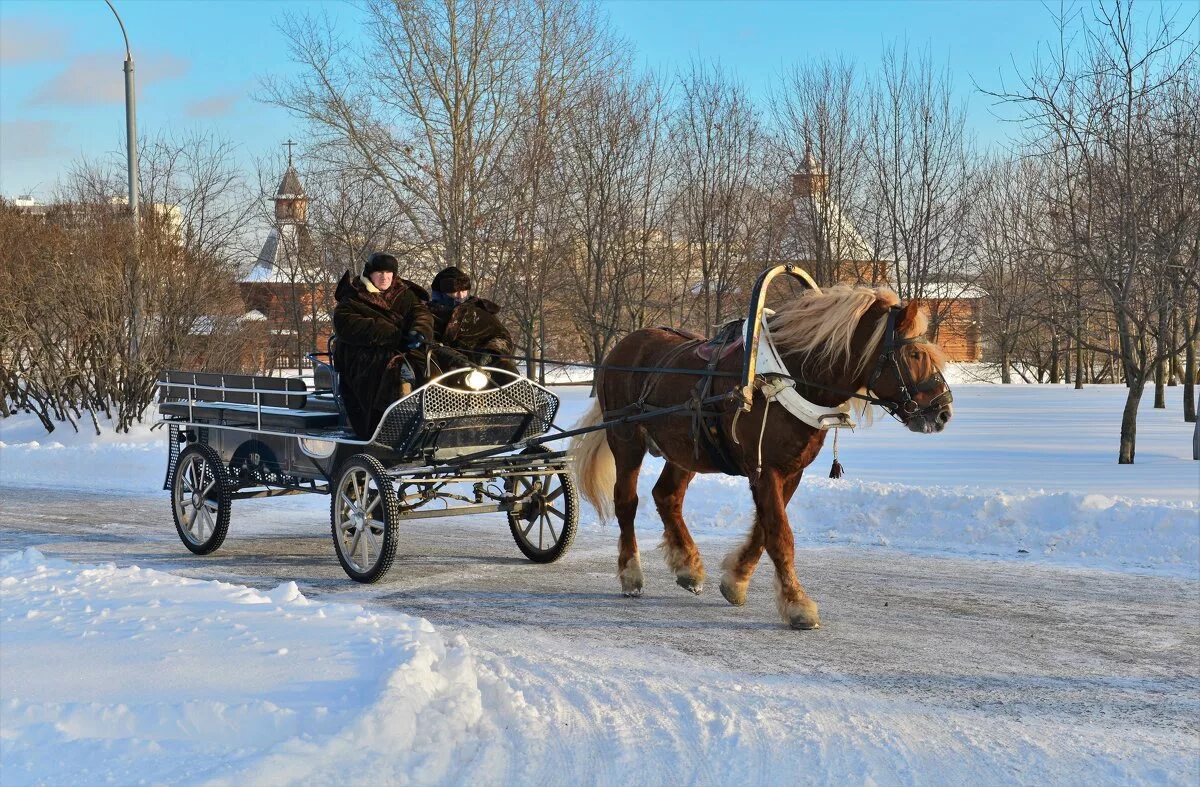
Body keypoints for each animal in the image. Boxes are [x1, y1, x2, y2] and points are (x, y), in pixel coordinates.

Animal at [566, 285, 950, 628]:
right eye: (915, 355)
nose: (943, 412)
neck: (790, 376)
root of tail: (622, 347)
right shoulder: (765, 470)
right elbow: (779, 534)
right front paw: (797, 604)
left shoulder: (791, 470)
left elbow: (765, 530)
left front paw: (735, 581)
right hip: (626, 437)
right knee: (626, 502)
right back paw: (631, 574)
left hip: (688, 448)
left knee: (667, 496)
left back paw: (689, 567)